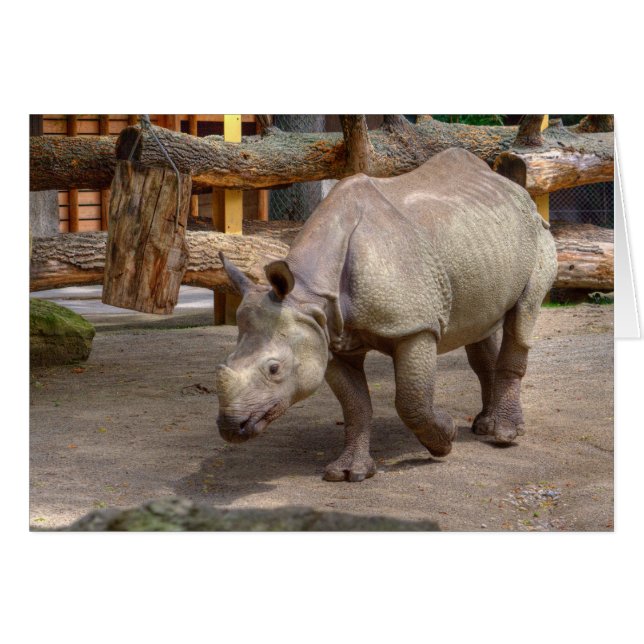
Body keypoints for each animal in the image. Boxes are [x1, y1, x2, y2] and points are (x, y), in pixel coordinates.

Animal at [215, 148, 557, 482]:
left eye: (274, 369)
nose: (230, 427)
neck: (308, 294)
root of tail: (514, 188)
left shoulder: (415, 327)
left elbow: (411, 401)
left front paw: (445, 438)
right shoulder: (328, 335)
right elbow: (355, 405)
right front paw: (350, 473)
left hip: (537, 235)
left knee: (522, 317)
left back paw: (503, 434)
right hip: (480, 239)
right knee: (480, 326)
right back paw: (484, 426)